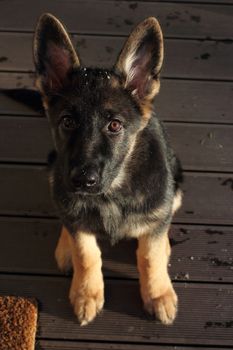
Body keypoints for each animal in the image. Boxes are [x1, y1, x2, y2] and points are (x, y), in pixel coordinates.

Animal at [33, 13, 182, 326]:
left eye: (114, 125)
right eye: (67, 122)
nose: (82, 181)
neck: (112, 193)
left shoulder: (156, 212)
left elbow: (149, 256)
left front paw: (157, 293)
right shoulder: (74, 209)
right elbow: (86, 253)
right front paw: (86, 293)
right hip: (55, 171)